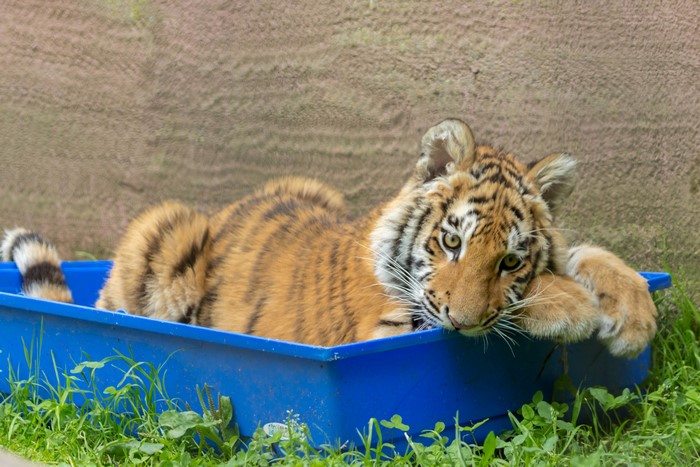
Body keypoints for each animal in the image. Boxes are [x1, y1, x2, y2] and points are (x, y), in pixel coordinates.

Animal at [1, 119, 657, 357]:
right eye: (452, 244)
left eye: (509, 262)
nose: (467, 322)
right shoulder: (389, 328)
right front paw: (573, 307)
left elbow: (579, 253)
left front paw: (633, 314)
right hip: (165, 231)